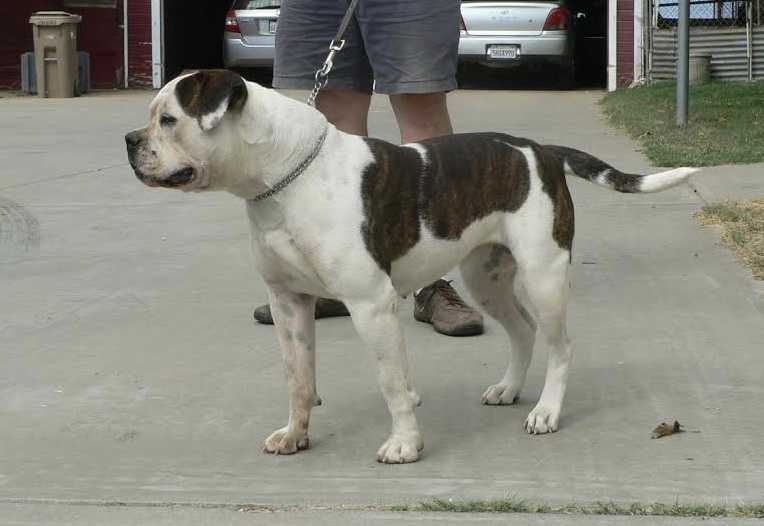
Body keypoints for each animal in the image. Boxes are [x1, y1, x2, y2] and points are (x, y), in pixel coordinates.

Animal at [125, 70, 700, 466]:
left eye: (169, 119)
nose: (130, 141)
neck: (282, 176)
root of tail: (541, 151)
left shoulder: (371, 305)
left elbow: (392, 383)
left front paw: (404, 444)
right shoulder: (288, 303)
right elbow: (298, 377)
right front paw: (295, 435)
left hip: (544, 274)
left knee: (561, 344)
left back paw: (546, 412)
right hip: (485, 278)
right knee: (522, 331)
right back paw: (508, 390)